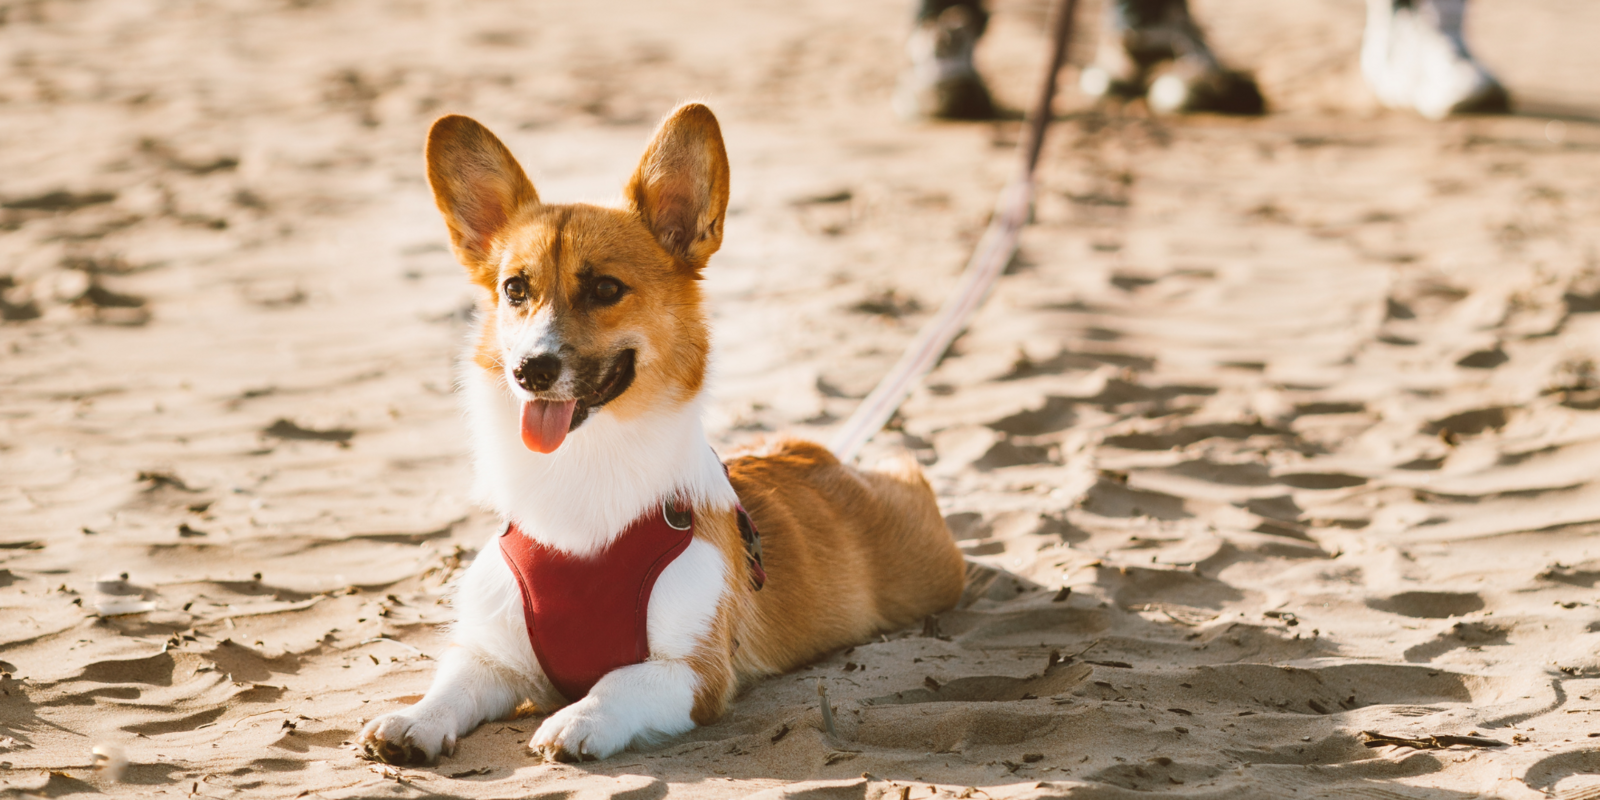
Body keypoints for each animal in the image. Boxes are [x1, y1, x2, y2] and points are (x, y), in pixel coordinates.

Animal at [360, 104, 960, 761]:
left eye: (605, 289)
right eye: (515, 289)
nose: (530, 370)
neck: (584, 469)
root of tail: (818, 452)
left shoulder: (692, 671)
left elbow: (617, 682)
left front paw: (579, 718)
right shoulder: (494, 657)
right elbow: (452, 685)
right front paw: (414, 720)